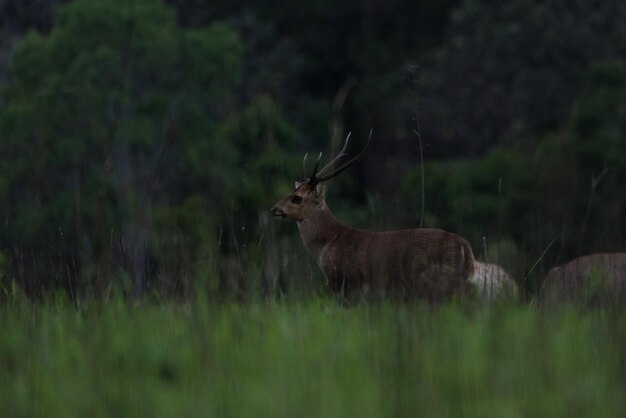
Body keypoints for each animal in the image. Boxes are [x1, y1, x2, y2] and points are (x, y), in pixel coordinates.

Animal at [268, 134, 472, 300]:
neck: (329, 242)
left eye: (297, 198)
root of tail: (465, 247)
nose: (274, 209)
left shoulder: (350, 282)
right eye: (291, 191)